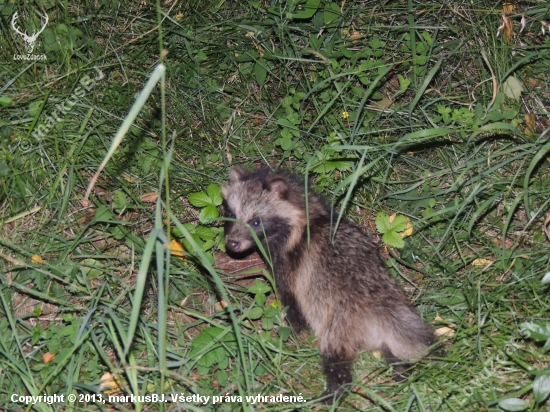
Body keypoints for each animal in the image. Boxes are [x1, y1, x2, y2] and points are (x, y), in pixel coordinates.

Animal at [221, 167, 436, 400]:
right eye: (232, 214)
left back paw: (333, 391)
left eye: (255, 222)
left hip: (339, 323)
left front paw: (291, 332)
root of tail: (383, 312)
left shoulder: (291, 268)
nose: (232, 243)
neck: (309, 217)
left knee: (336, 358)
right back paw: (402, 373)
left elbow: (292, 304)